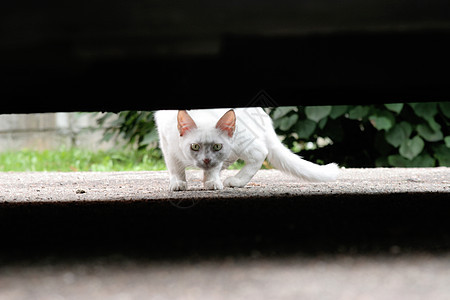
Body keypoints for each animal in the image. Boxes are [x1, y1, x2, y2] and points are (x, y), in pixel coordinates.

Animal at [155, 108, 338, 191]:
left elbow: (213, 168)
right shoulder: (167, 144)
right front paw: (178, 183)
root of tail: (264, 115)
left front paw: (212, 181)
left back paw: (234, 180)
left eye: (217, 146)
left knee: (260, 153)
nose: (206, 159)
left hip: (243, 140)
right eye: (195, 146)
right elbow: (176, 167)